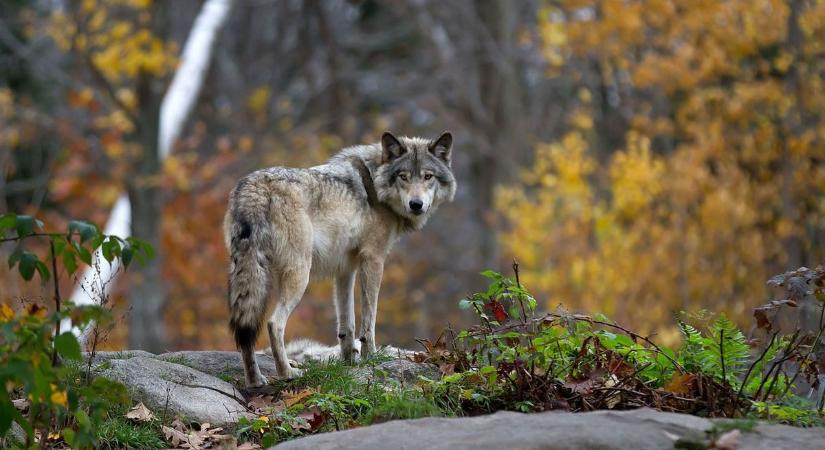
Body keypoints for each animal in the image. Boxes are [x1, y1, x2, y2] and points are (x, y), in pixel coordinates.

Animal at [225, 132, 458, 384]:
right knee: (273, 323)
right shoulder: (373, 259)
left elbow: (347, 324)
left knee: (245, 330)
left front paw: (349, 362)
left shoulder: (345, 269)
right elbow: (369, 319)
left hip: (249, 275)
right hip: (299, 275)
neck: (375, 184)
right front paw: (370, 357)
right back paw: (288, 373)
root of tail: (255, 187)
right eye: (403, 177)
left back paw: (255, 380)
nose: (416, 205)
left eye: (428, 176)